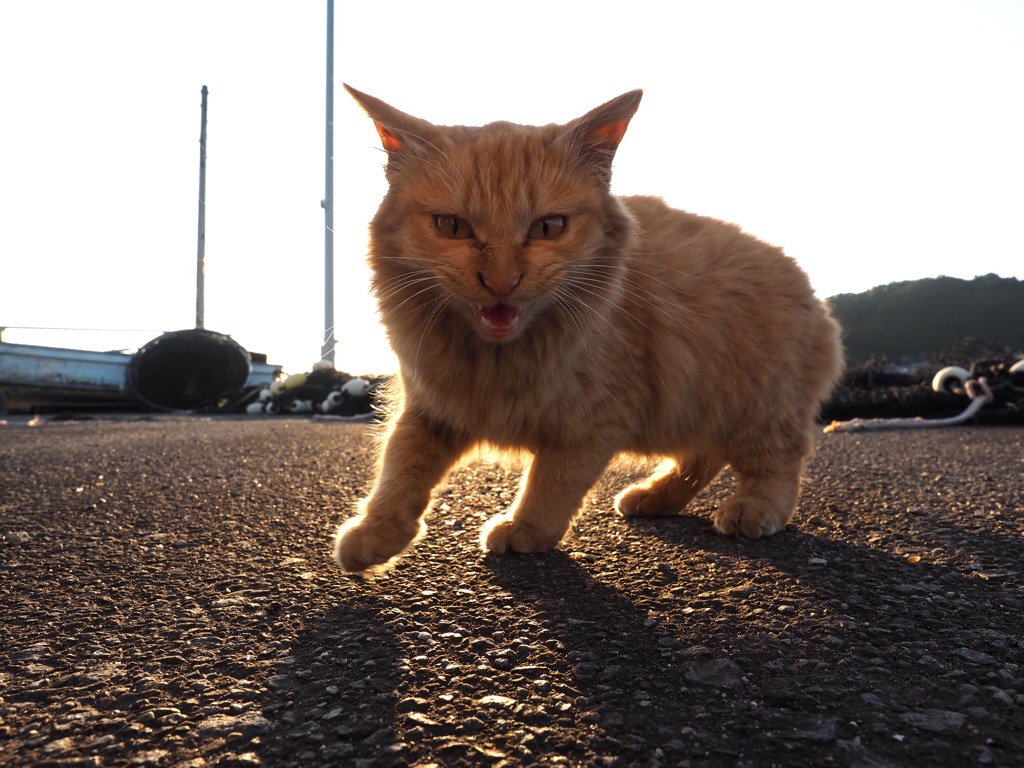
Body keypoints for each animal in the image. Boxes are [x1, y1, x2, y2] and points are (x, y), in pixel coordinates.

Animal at [333, 87, 839, 573]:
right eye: (451, 226)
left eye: (549, 228)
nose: (501, 282)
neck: (497, 358)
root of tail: (813, 295)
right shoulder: (430, 408)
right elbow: (399, 471)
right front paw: (374, 536)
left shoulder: (593, 422)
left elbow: (551, 482)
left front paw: (525, 528)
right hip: (700, 405)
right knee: (702, 457)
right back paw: (655, 496)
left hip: (758, 407)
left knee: (776, 463)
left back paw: (752, 509)